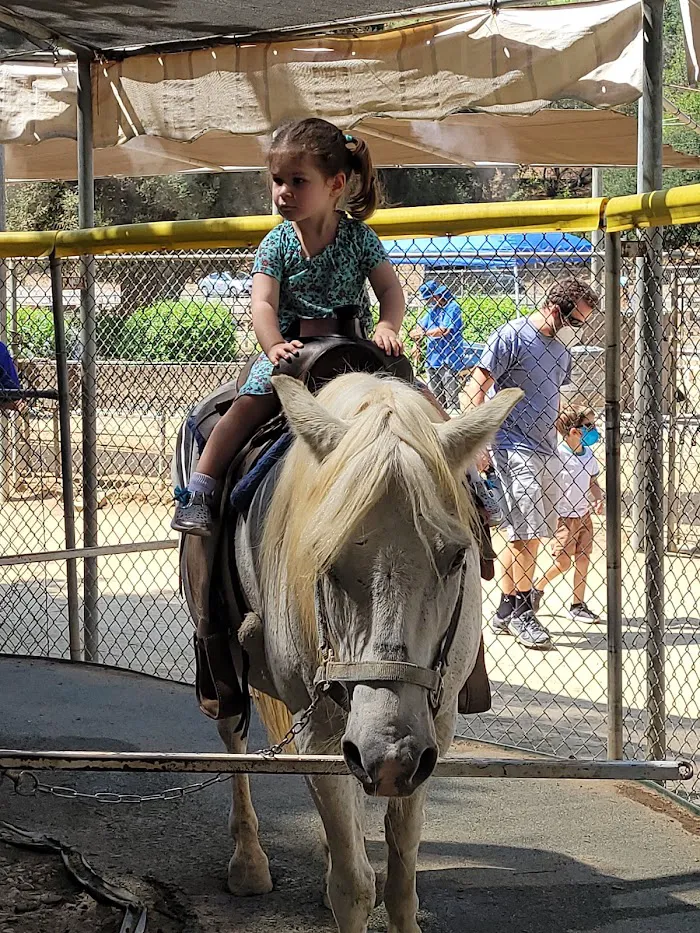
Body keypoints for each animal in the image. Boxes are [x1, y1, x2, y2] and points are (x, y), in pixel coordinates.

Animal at [217, 374, 520, 932]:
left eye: (455, 557)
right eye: (326, 559)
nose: (390, 755)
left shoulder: (433, 730)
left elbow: (401, 878)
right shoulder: (317, 728)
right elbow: (353, 889)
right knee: (234, 738)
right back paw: (248, 862)